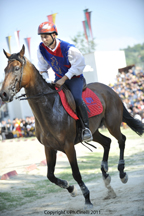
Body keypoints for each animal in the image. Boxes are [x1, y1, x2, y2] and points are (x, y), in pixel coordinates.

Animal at [0, 45, 143, 208]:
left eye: (17, 68)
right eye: (5, 69)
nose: (3, 94)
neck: (49, 107)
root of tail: (110, 90)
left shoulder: (68, 146)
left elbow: (76, 173)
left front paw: (87, 198)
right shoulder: (49, 148)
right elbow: (50, 175)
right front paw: (70, 188)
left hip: (112, 124)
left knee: (121, 140)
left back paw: (122, 173)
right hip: (94, 131)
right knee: (107, 142)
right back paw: (105, 174)